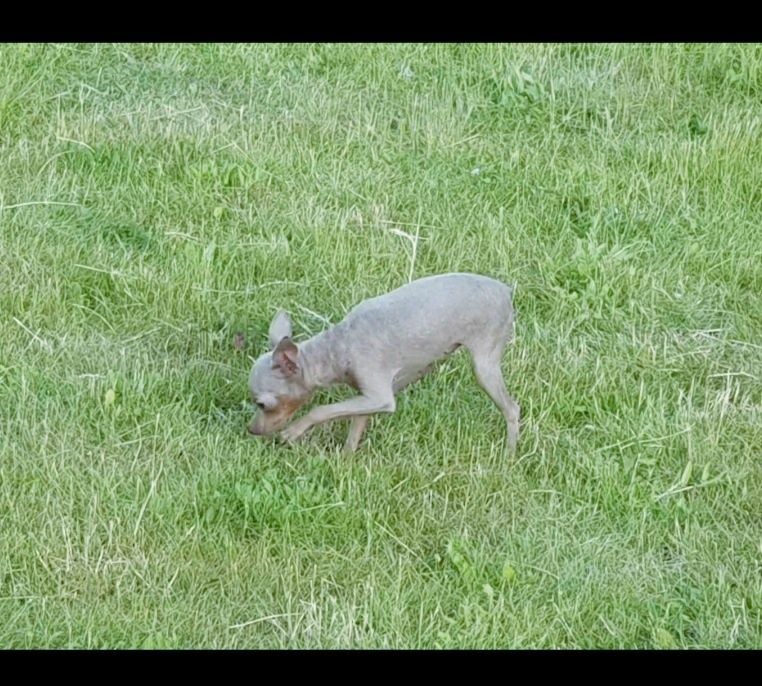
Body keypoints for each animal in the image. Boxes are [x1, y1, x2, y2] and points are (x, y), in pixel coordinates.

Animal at [246, 272, 520, 454]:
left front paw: (293, 432)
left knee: (512, 409)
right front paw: (345, 460)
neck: (336, 348)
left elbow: (321, 410)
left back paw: (508, 454)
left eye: (262, 404)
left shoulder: (380, 397)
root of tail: (506, 290)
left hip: (484, 366)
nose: (251, 430)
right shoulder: (367, 398)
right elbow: (356, 424)